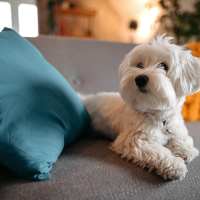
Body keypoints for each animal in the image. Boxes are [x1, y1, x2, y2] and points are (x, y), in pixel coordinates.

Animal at [82, 35, 199, 180]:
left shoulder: (175, 127)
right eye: (139, 65)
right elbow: (159, 152)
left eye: (164, 66)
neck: (158, 117)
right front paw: (174, 164)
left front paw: (185, 149)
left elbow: (181, 138)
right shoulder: (134, 141)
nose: (140, 78)